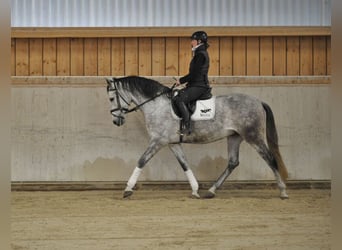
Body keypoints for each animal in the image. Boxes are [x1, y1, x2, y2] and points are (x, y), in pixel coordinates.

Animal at [106, 75, 288, 199]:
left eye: (111, 98)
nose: (116, 121)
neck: (156, 105)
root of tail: (258, 101)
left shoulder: (158, 141)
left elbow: (141, 161)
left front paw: (127, 189)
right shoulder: (173, 143)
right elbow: (184, 164)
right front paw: (195, 189)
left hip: (253, 136)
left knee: (270, 158)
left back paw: (283, 191)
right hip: (235, 137)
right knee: (233, 162)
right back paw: (211, 191)